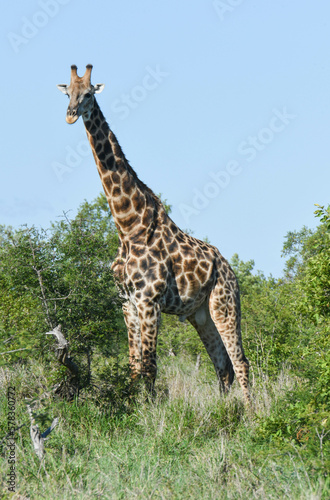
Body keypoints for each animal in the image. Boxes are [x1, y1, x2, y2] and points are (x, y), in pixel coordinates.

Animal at [57, 64, 250, 404]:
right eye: (68, 92)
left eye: (89, 93)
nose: (70, 115)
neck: (127, 226)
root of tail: (229, 269)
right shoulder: (127, 303)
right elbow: (134, 368)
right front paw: (134, 411)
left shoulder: (150, 301)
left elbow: (150, 368)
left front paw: (148, 412)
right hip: (201, 313)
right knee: (222, 365)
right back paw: (227, 410)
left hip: (225, 304)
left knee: (240, 362)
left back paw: (256, 413)